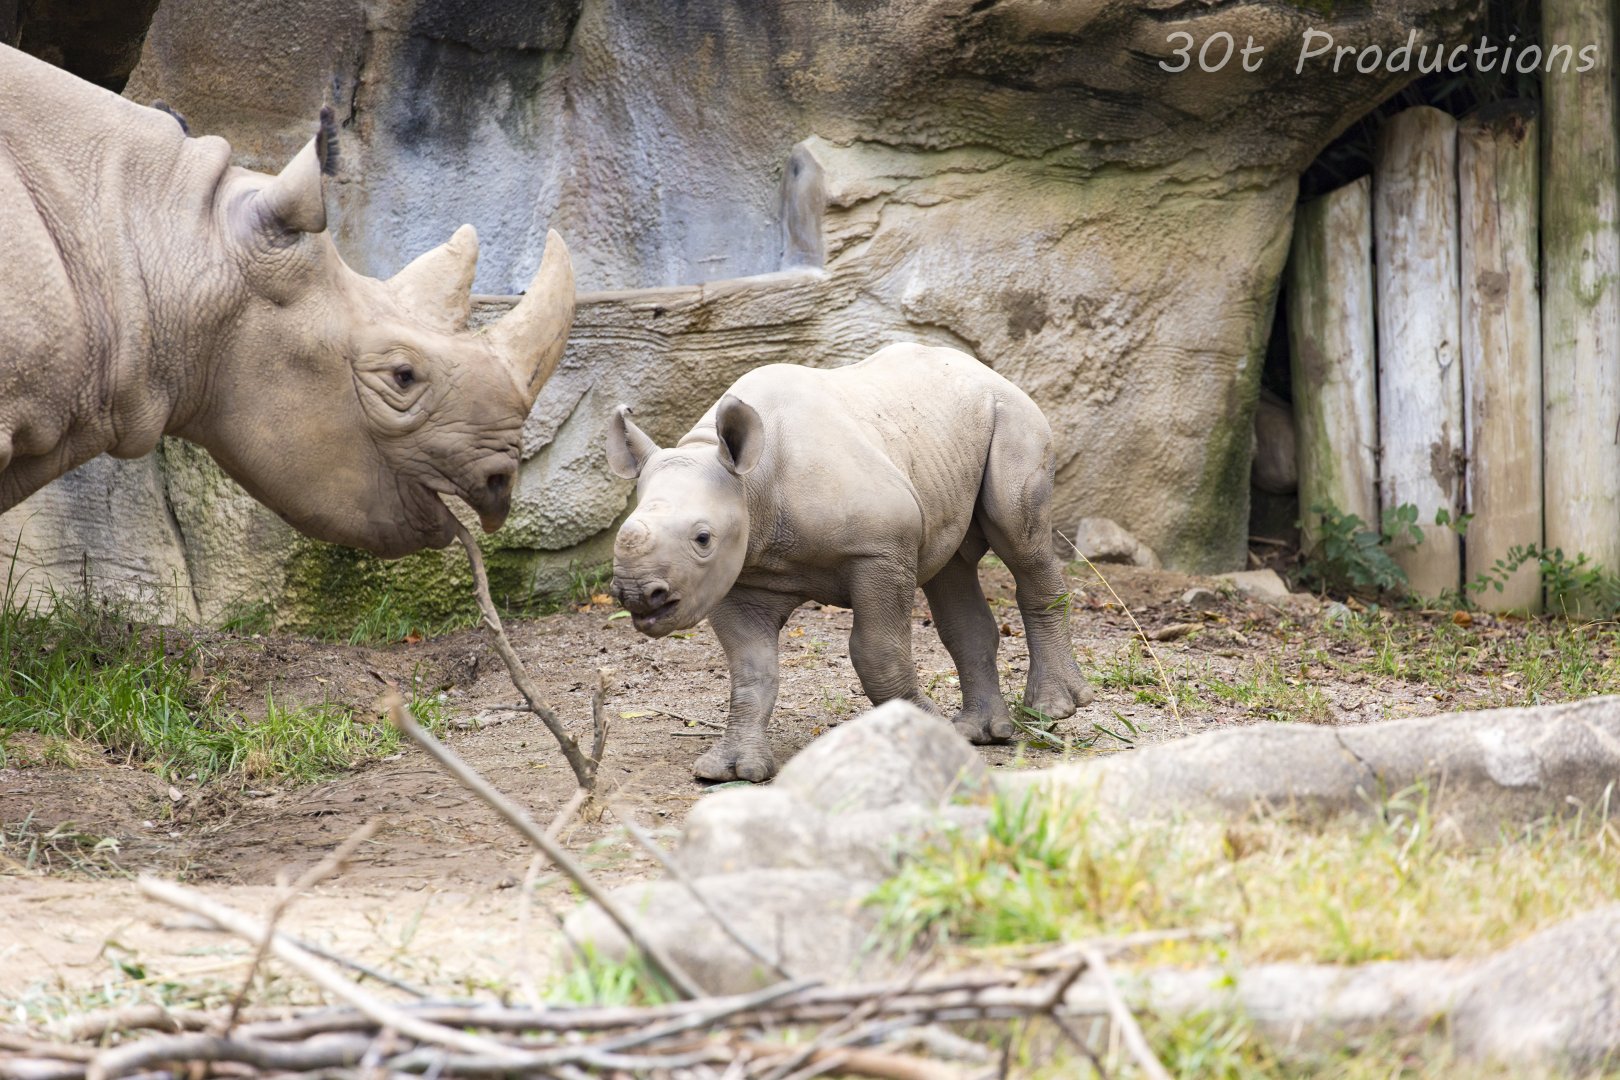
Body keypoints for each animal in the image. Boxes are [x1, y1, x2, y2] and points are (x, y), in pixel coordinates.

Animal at [606, 342, 1094, 782]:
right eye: (621, 532)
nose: (637, 594)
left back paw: (1053, 709)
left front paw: (923, 734)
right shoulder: (737, 572)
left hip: (1015, 418)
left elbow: (877, 652)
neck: (751, 484)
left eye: (702, 538)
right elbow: (751, 668)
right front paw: (730, 771)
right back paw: (983, 733)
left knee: (1020, 540)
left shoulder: (881, 548)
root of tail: (989, 370)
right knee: (952, 570)